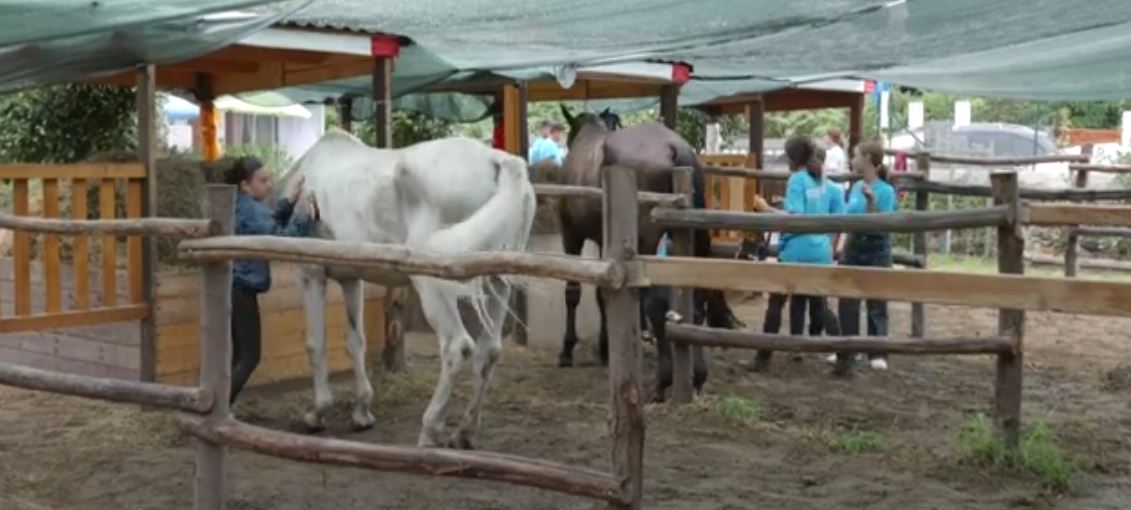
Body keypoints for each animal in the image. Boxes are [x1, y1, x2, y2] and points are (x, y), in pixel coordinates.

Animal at [282, 128, 536, 449]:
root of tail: (500, 162)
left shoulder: (311, 275)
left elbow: (315, 344)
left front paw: (317, 414)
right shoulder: (351, 279)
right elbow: (356, 342)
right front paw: (362, 413)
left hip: (432, 288)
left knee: (457, 348)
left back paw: (430, 430)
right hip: (497, 285)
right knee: (487, 351)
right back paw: (463, 434)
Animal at [555, 105, 735, 401]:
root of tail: (675, 146)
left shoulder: (571, 235)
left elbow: (573, 293)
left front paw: (568, 350)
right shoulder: (606, 243)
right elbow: (602, 295)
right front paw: (605, 348)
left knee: (655, 302)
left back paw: (663, 381)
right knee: (695, 302)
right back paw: (696, 376)